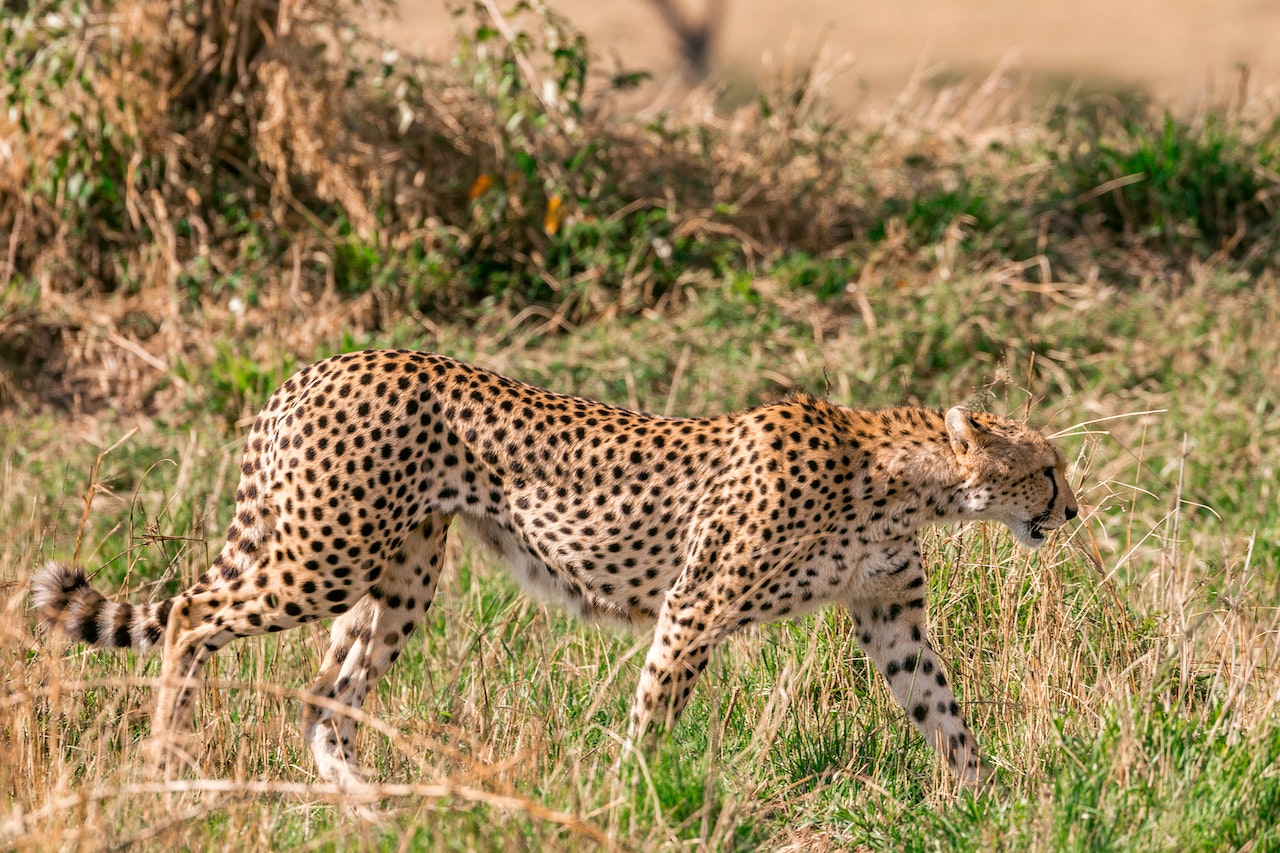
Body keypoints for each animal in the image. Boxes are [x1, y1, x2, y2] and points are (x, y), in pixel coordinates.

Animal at [27, 348, 1070, 788]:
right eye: (1047, 467)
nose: (1071, 508)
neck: (901, 474)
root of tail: (320, 364)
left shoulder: (890, 617)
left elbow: (943, 709)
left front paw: (990, 799)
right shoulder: (695, 605)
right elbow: (654, 708)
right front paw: (624, 792)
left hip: (400, 575)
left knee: (327, 696)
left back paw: (367, 803)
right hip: (323, 553)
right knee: (193, 615)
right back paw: (167, 758)